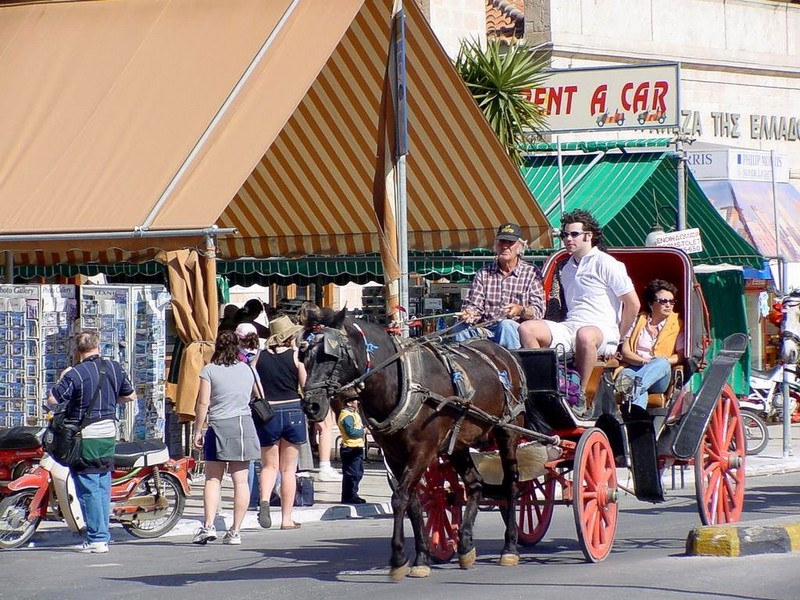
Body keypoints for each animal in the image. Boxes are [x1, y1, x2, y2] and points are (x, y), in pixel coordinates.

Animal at [300, 308, 524, 580]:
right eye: (303, 356)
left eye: (330, 355)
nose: (311, 406)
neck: (401, 383)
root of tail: (504, 353)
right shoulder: (394, 455)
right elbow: (413, 503)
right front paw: (421, 558)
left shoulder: (423, 451)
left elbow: (399, 498)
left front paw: (398, 558)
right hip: (459, 444)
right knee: (475, 484)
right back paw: (465, 546)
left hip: (508, 432)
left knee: (512, 486)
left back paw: (509, 547)